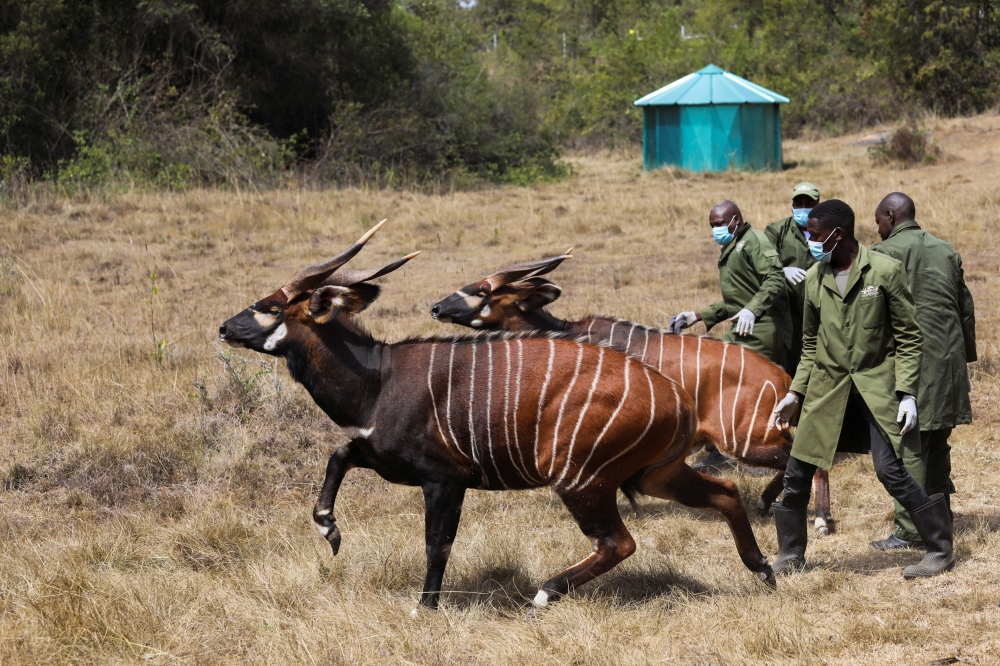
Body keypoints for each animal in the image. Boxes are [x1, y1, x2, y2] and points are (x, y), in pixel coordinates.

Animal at [219, 222, 776, 612]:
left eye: (268, 306)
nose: (224, 327)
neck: (377, 377)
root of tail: (675, 399)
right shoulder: (384, 456)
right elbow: (338, 457)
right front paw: (330, 532)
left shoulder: (442, 480)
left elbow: (437, 543)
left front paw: (425, 608)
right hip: (654, 475)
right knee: (725, 493)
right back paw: (764, 568)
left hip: (582, 480)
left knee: (619, 542)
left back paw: (545, 593)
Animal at [430, 252, 836, 532]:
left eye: (481, 290)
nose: (435, 306)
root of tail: (783, 378)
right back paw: (771, 505)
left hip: (744, 440)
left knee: (805, 460)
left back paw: (819, 518)